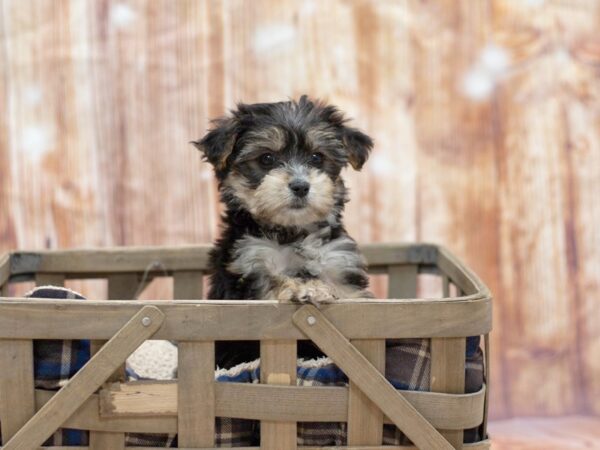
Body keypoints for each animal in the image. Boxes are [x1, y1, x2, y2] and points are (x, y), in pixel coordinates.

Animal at [196, 96, 376, 368]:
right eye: (267, 158)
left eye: (316, 157)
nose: (301, 186)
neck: (292, 232)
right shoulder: (249, 265)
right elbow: (273, 280)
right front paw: (306, 289)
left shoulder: (339, 264)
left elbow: (353, 299)